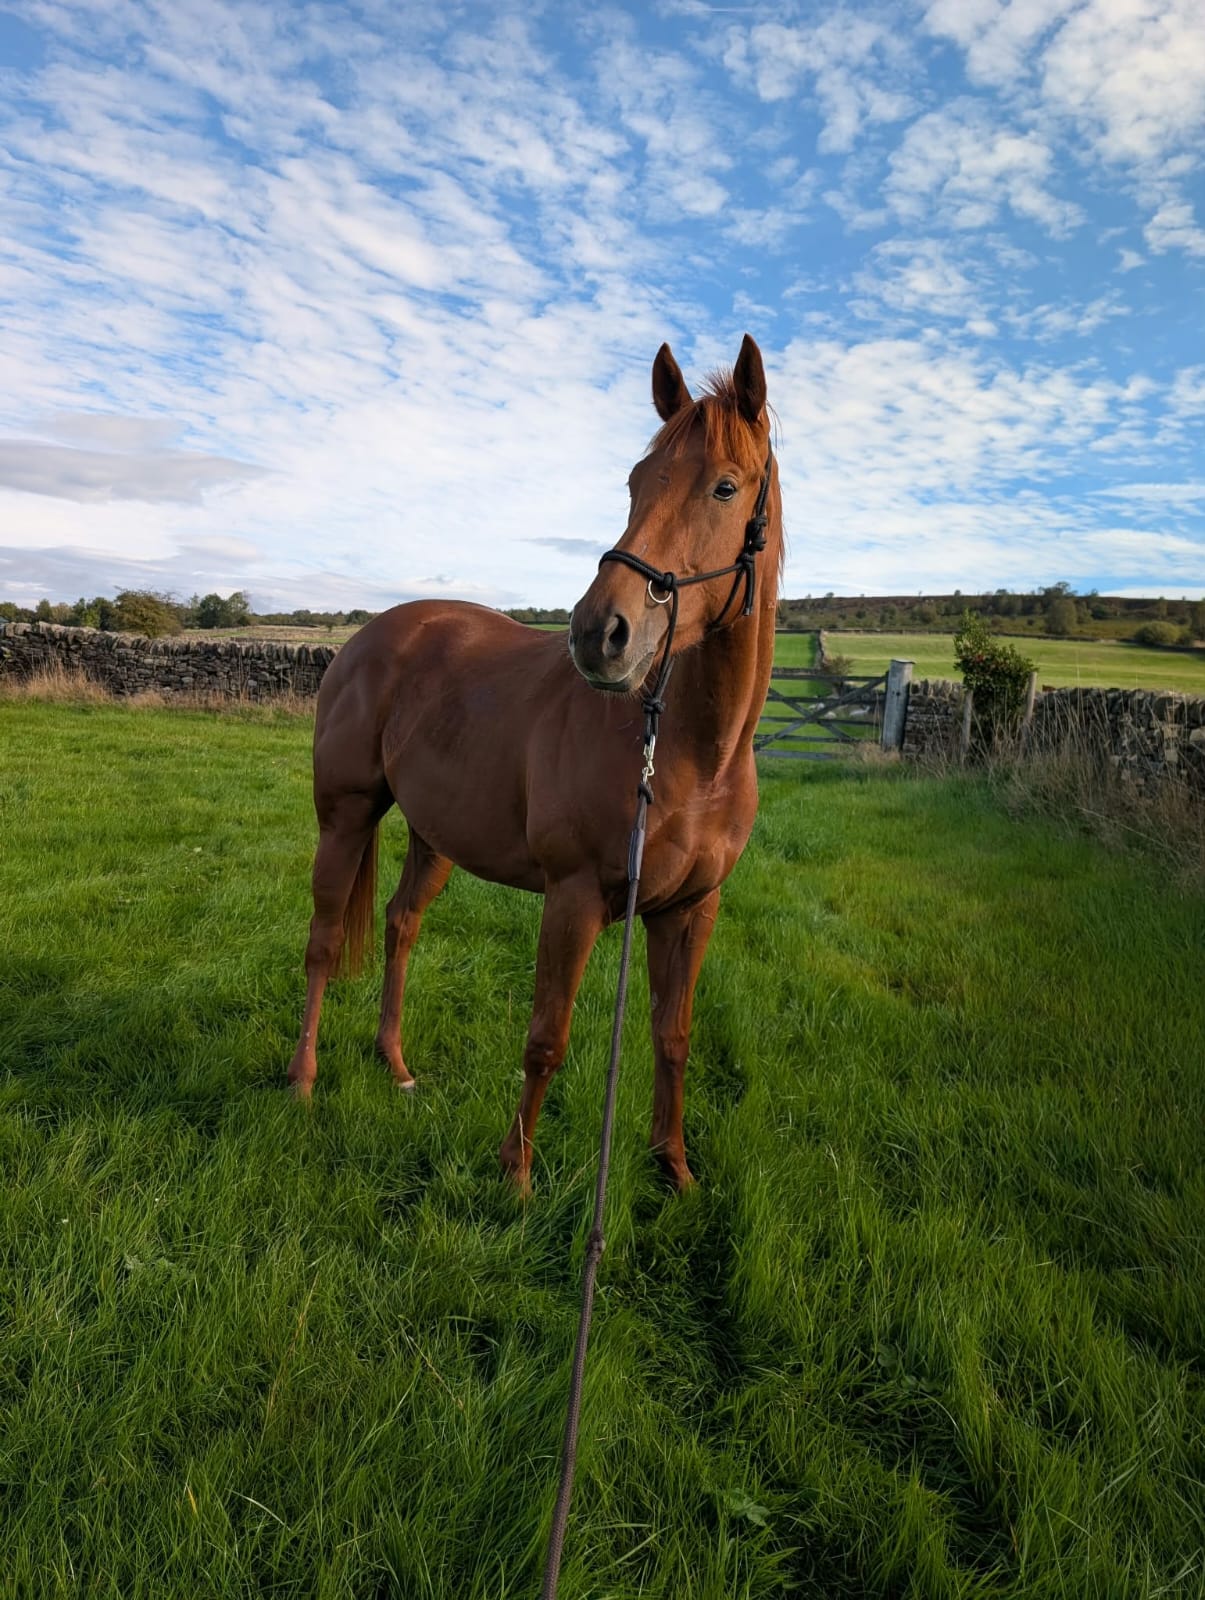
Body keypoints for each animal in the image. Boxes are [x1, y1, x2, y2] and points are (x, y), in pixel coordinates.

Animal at [286, 333, 784, 1194]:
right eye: (634, 482)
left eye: (725, 486)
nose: (598, 632)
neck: (691, 756)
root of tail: (366, 638)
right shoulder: (573, 898)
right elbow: (546, 1037)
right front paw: (515, 1178)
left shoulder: (692, 911)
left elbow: (674, 1037)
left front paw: (674, 1169)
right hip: (345, 815)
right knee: (322, 941)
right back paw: (305, 1081)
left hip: (434, 835)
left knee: (400, 924)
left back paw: (395, 1065)